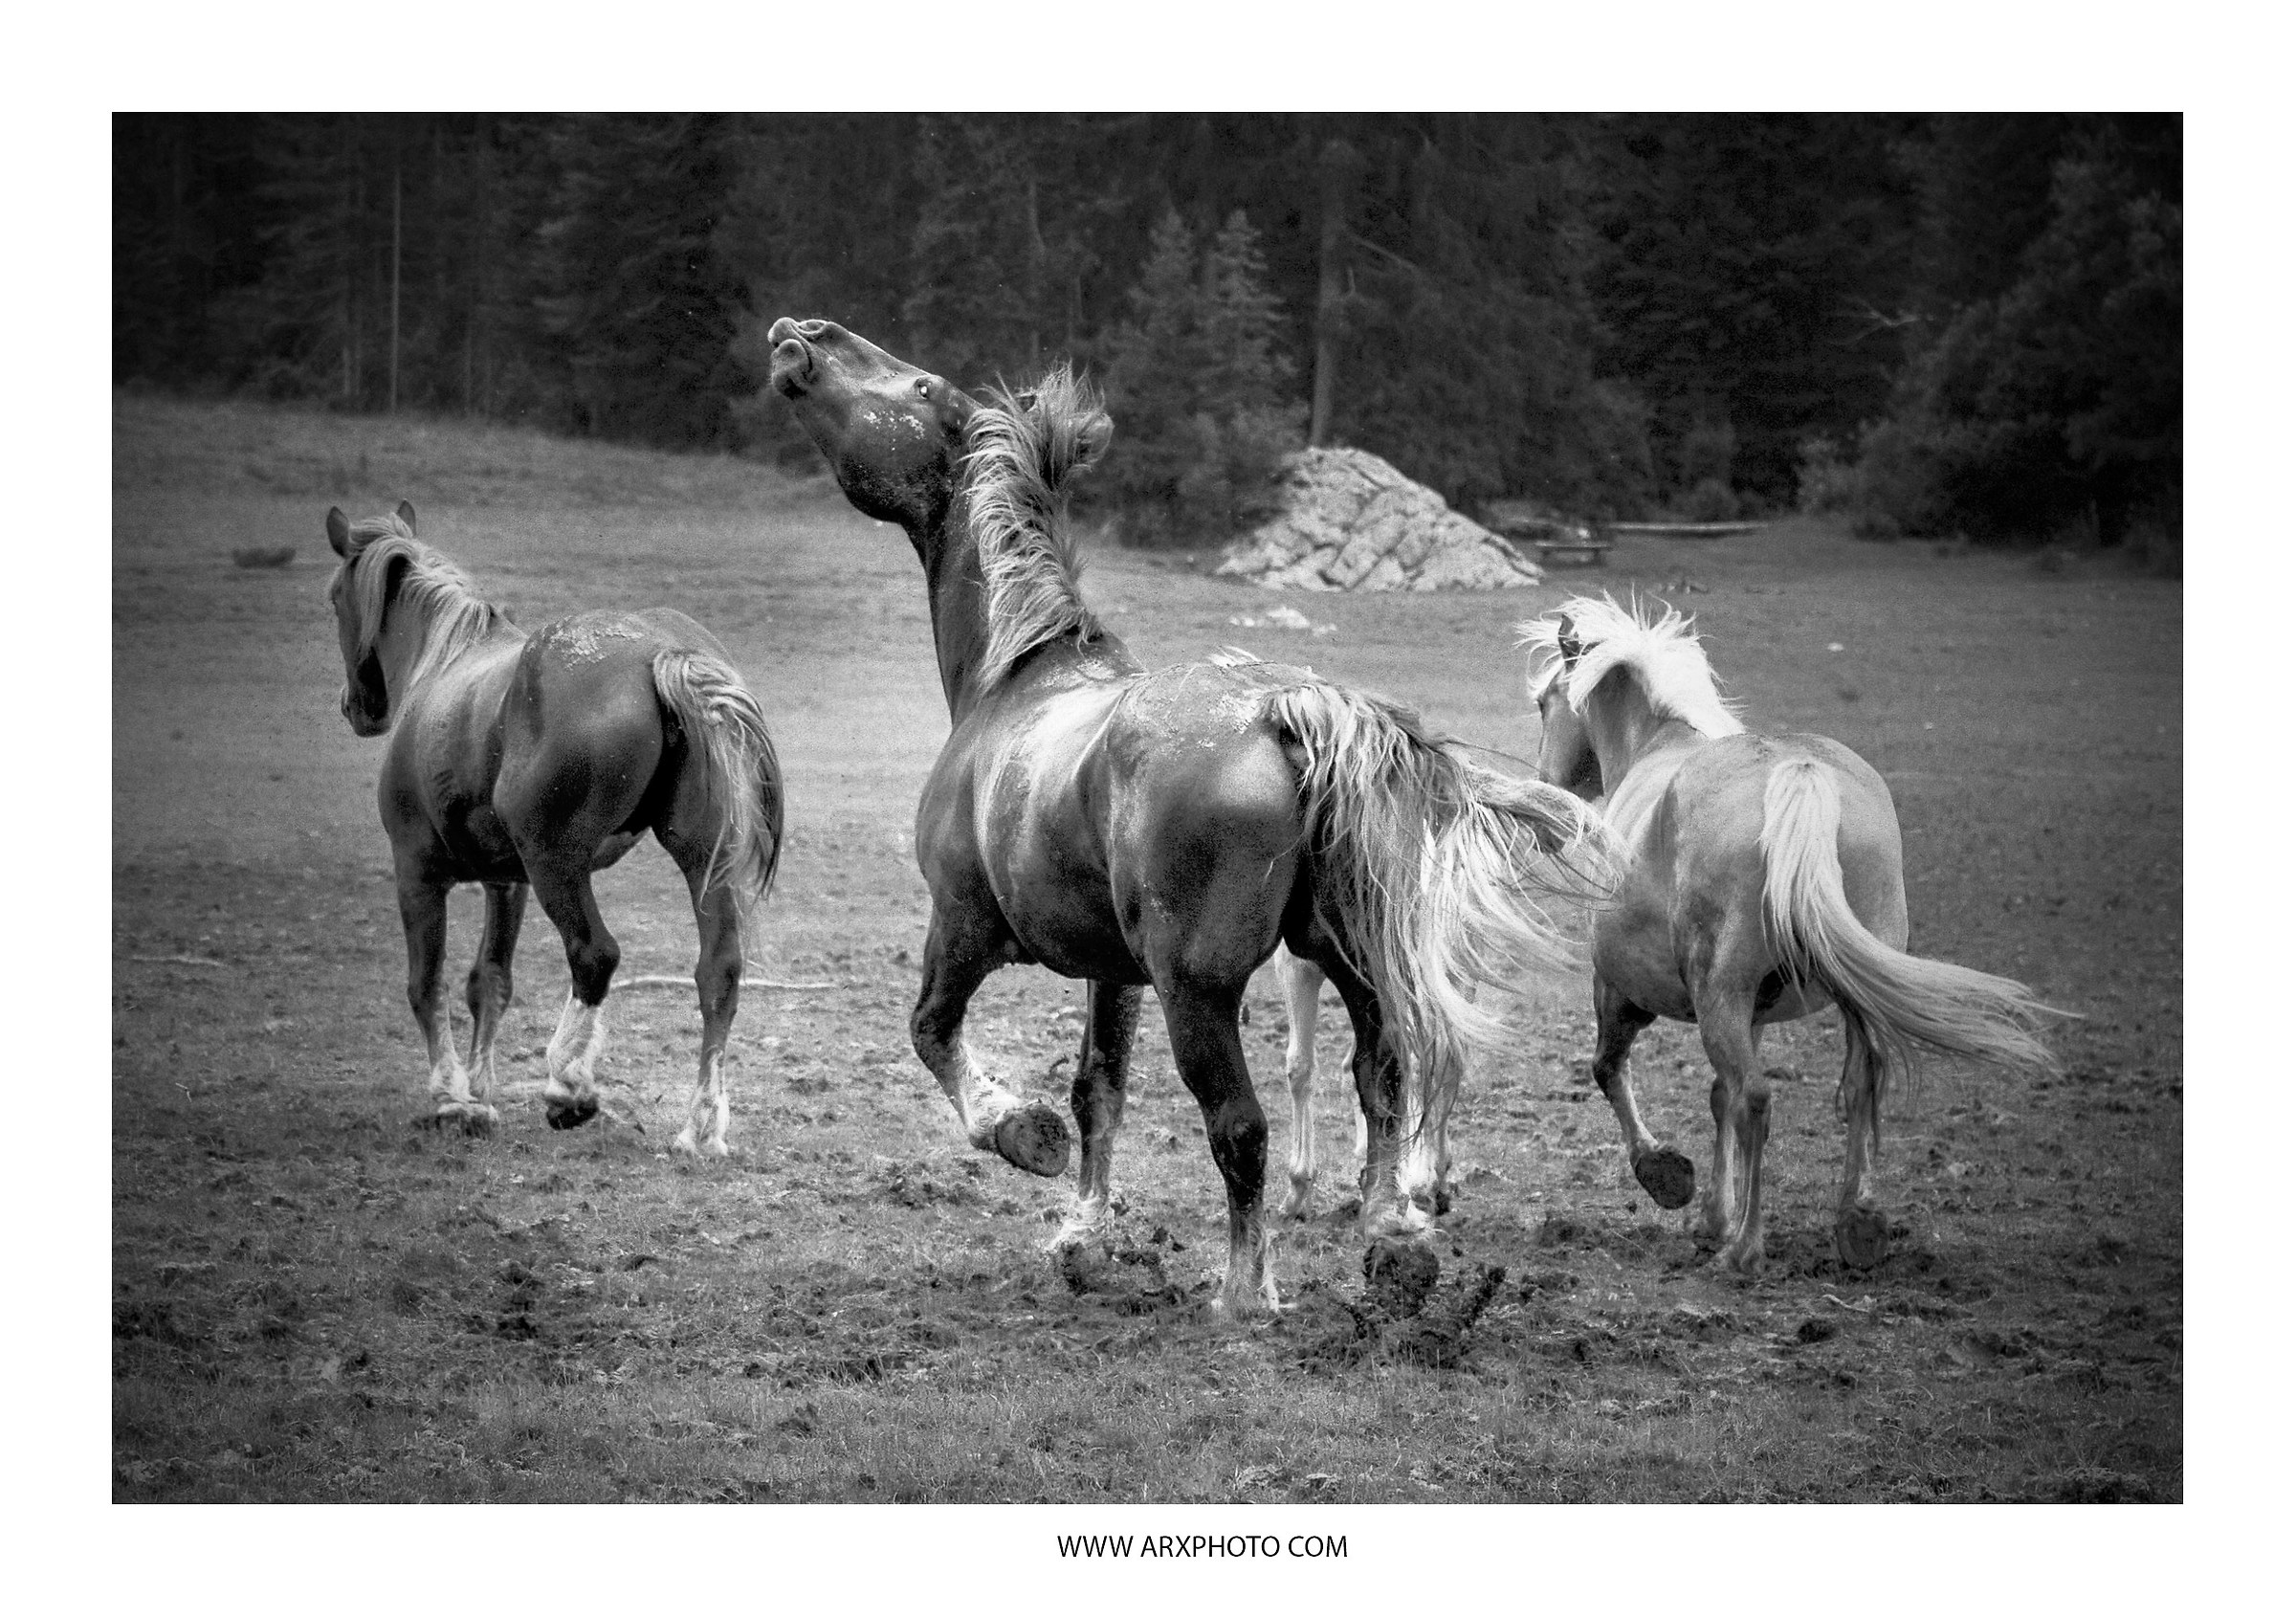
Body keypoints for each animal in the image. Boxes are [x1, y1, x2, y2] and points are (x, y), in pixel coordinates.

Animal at [325, 501, 784, 1154]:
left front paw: (449, 1098)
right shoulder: (506, 882)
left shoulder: (416, 872)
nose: (353, 706)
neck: (446, 662)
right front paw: (479, 1095)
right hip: (700, 860)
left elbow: (427, 984)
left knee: (595, 955)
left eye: (335, 596)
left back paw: (569, 1086)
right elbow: (489, 981)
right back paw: (700, 1126)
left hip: (556, 867)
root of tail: (661, 651)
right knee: (718, 970)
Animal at [767, 317, 1611, 1314]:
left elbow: (934, 1033)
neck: (1014, 677)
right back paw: (1394, 1236)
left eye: (919, 384)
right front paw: (1084, 1238)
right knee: (1384, 1081)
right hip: (1353, 963)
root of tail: (1290, 712)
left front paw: (1020, 1132)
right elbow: (1099, 1090)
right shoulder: (1114, 970)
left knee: (1241, 1125)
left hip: (1199, 989)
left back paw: (1246, 1293)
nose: (800, 335)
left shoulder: (966, 924)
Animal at [1520, 594, 2061, 1272]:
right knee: (1856, 1085)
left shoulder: (1620, 991)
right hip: (1837, 1000)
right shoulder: (1748, 1012)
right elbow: (1717, 1097)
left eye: (1545, 703)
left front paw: (1668, 1177)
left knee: (1757, 1098)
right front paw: (1712, 1216)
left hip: (1718, 996)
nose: (1547, 795)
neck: (1655, 747)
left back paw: (1748, 1249)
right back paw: (1856, 1223)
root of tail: (1800, 771)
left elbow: (1610, 1071)